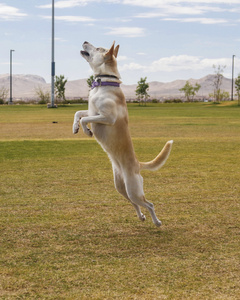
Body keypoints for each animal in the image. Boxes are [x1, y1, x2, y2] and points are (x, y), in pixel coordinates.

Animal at [73, 41, 172, 226]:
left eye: (98, 48)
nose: (85, 41)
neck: (104, 84)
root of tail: (138, 164)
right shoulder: (92, 111)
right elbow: (78, 113)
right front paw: (75, 127)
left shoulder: (107, 117)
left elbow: (85, 119)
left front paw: (87, 130)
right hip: (121, 188)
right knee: (135, 204)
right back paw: (141, 216)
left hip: (133, 189)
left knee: (149, 204)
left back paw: (157, 222)